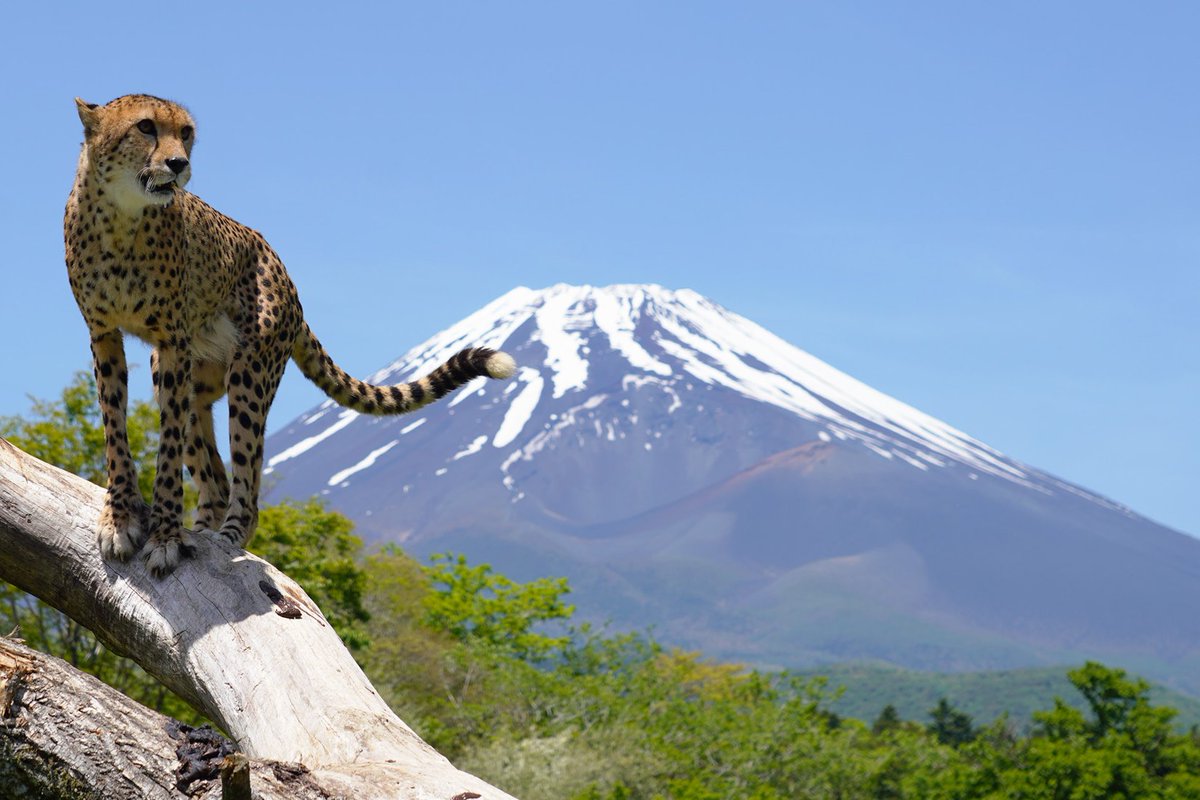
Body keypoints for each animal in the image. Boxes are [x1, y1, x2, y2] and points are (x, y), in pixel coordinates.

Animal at [64, 95, 516, 575]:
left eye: (186, 133)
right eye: (146, 127)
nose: (179, 163)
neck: (120, 216)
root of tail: (286, 277)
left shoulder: (172, 343)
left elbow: (166, 450)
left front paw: (165, 535)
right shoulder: (104, 333)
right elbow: (114, 428)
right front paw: (120, 517)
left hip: (248, 371)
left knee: (245, 486)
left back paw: (225, 540)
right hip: (196, 377)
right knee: (216, 478)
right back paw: (201, 530)